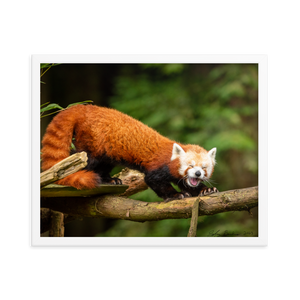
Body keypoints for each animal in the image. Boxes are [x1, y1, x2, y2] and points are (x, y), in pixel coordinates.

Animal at [41, 104, 218, 200]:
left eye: (204, 168)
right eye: (190, 165)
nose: (197, 174)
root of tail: (85, 108)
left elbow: (187, 184)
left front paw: (205, 190)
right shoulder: (158, 167)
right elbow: (154, 180)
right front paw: (175, 195)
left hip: (106, 151)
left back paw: (109, 180)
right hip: (92, 143)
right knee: (85, 159)